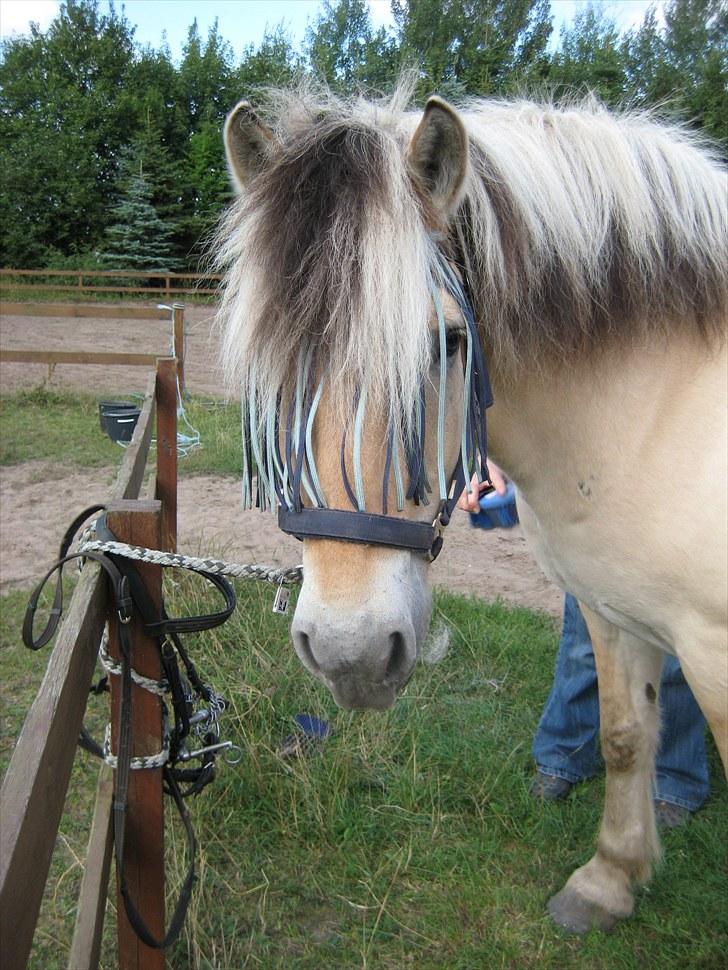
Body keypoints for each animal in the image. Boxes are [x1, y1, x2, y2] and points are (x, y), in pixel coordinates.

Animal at [213, 83, 724, 932]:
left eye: (449, 343)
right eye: (270, 360)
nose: (351, 653)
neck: (657, 412)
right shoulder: (611, 611)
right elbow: (624, 736)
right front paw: (609, 880)